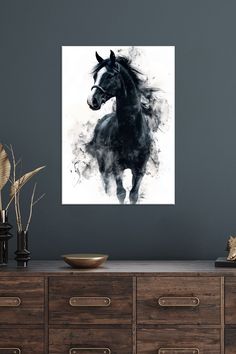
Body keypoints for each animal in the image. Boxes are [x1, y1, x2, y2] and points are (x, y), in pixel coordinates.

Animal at [86, 50, 157, 205]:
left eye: (109, 75)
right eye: (95, 76)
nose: (91, 100)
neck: (131, 134)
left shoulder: (139, 169)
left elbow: (133, 195)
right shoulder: (117, 167)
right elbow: (121, 193)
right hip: (103, 165)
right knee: (106, 185)